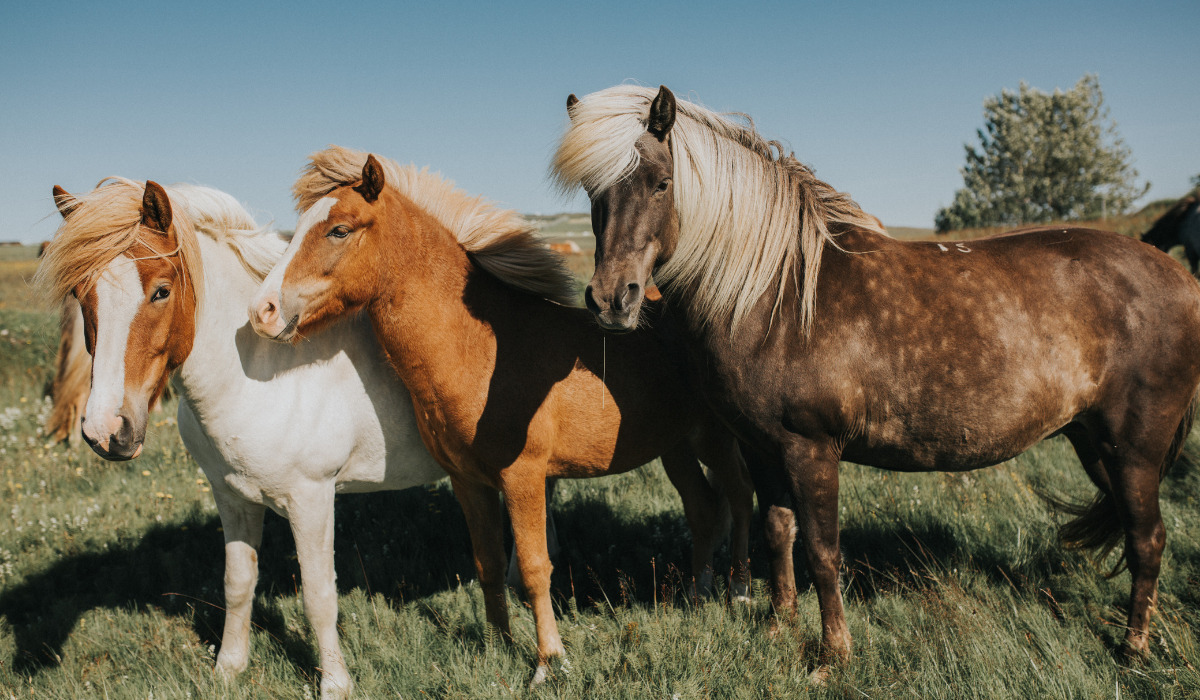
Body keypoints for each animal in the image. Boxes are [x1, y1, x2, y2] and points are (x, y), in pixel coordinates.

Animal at [248, 147, 753, 686]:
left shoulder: (524, 477)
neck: (481, 347)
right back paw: (699, 596)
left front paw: (549, 661)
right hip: (674, 444)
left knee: (740, 500)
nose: (263, 311)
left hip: (715, 438)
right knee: (704, 510)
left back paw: (740, 595)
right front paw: (496, 646)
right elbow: (488, 562)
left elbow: (533, 567)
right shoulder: (467, 481)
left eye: (339, 230)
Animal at [549, 86, 1200, 667]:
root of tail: (1182, 278)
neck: (775, 293)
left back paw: (1133, 648)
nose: (612, 299)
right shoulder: (764, 450)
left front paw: (833, 653)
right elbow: (779, 533)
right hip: (1094, 444)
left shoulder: (811, 451)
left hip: (1133, 450)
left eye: (661, 183)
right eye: (593, 191)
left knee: (1148, 540)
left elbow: (823, 551)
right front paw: (779, 628)